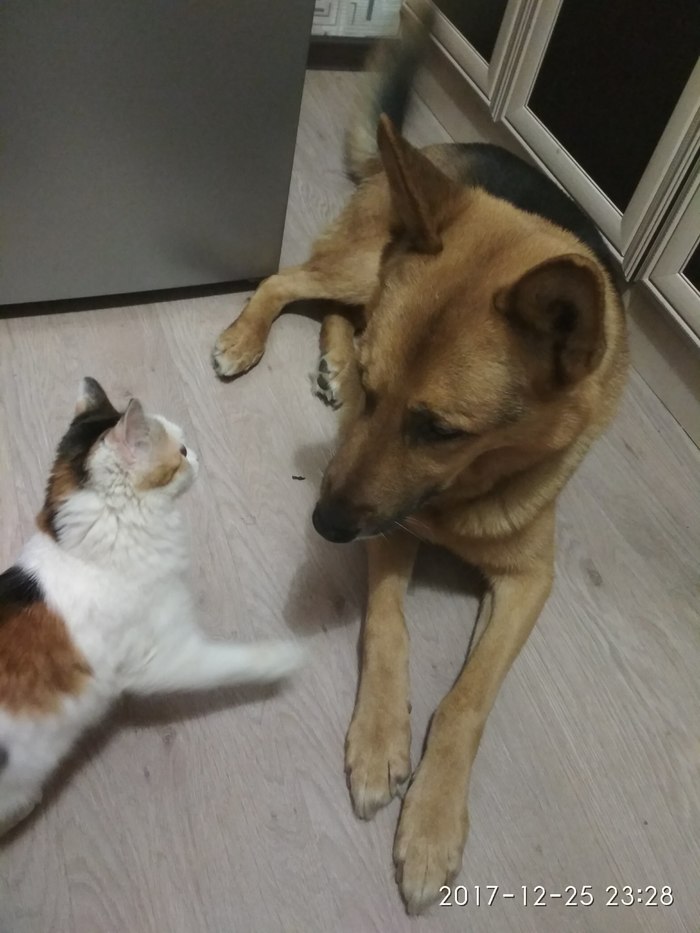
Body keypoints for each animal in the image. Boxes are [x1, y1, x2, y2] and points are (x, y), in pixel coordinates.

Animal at [211, 2, 628, 914]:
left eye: (439, 428)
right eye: (384, 398)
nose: (325, 526)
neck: (463, 496)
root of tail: (434, 155)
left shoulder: (528, 579)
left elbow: (468, 699)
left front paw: (433, 822)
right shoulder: (389, 526)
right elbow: (389, 628)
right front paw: (377, 744)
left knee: (339, 308)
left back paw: (329, 361)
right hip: (358, 264)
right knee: (289, 281)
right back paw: (252, 340)